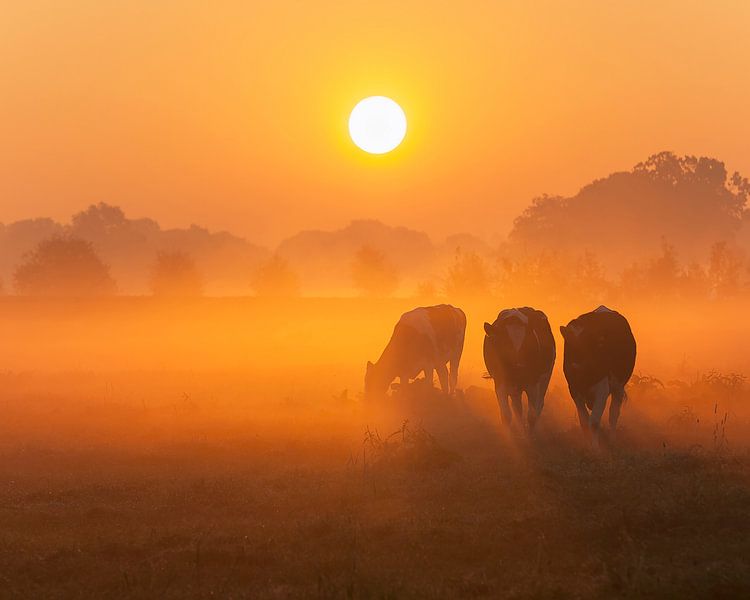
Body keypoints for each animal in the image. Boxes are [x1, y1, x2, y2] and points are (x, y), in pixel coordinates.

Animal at [560, 305, 636, 448]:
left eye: (588, 342)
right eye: (569, 343)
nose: (576, 366)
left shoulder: (602, 389)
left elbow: (594, 422)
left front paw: (595, 447)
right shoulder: (574, 389)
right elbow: (584, 422)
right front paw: (587, 443)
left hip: (618, 386)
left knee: (614, 414)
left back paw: (612, 440)